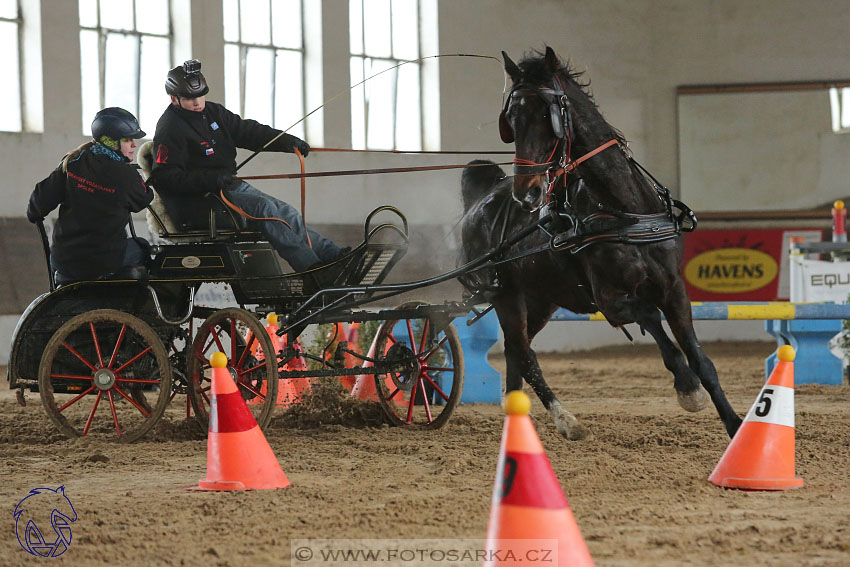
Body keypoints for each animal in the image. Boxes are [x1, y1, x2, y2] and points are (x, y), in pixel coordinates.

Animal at [460, 47, 740, 440]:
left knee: (518, 350)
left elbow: (703, 359)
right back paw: (566, 420)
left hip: (541, 299)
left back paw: (517, 417)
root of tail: (479, 199)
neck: (625, 210)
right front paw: (687, 388)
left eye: (546, 115)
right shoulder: (609, 300)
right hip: (506, 295)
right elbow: (651, 318)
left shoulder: (675, 290)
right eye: (511, 120)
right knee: (523, 351)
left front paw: (735, 425)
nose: (527, 193)